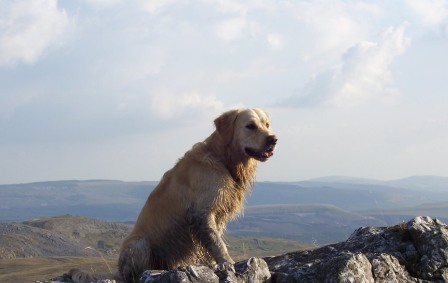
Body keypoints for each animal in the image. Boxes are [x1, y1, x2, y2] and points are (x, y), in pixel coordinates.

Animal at [69, 108, 276, 283]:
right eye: (250, 126)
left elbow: (212, 242)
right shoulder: (202, 212)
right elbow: (217, 242)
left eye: (267, 124)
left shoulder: (216, 214)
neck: (222, 158)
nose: (273, 139)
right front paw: (227, 262)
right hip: (139, 244)